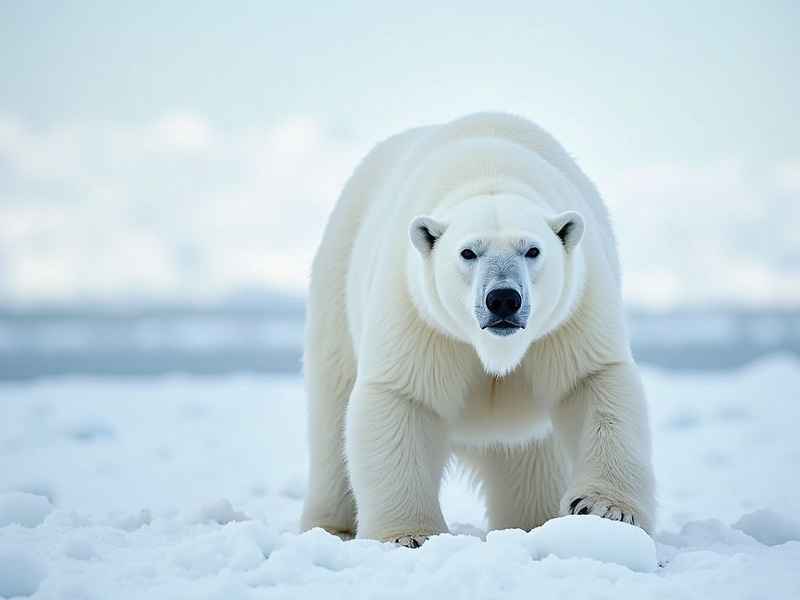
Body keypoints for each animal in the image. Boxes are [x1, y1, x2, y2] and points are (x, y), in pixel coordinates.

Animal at [300, 112, 655, 546]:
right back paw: (331, 527)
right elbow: (403, 399)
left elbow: (593, 381)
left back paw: (533, 520)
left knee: (530, 458)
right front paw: (408, 535)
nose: (502, 299)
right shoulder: (422, 318)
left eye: (532, 249)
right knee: (332, 417)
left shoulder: (571, 315)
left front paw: (602, 509)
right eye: (468, 252)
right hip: (336, 286)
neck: (489, 173)